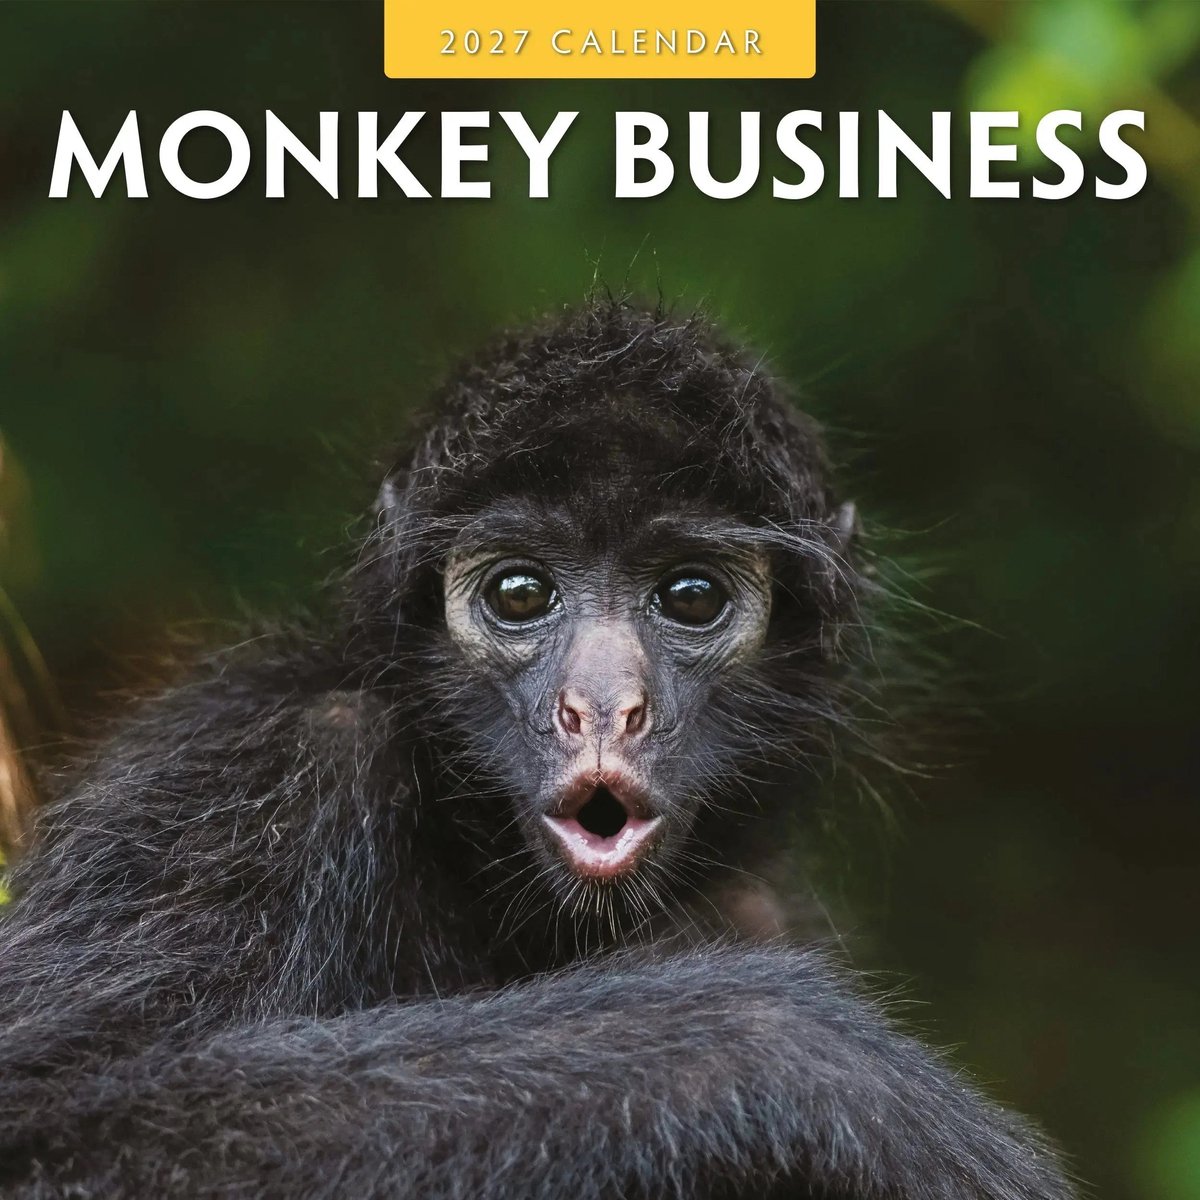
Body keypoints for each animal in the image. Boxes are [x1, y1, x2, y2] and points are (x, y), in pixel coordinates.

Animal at [0, 300, 1074, 1200]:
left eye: (691, 597)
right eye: (520, 594)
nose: (600, 706)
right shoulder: (264, 763)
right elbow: (52, 1128)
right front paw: (810, 1054)